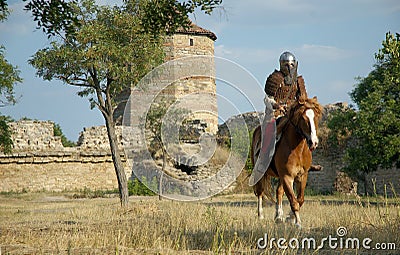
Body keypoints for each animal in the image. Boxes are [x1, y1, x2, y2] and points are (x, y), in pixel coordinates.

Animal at [252, 96, 324, 227]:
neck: (297, 150)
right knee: (260, 192)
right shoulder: (287, 177)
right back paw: (260, 215)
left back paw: (278, 216)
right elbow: (293, 200)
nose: (314, 142)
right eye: (303, 118)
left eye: (315, 117)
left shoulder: (302, 176)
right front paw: (298, 223)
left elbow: (299, 199)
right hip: (261, 173)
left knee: (279, 192)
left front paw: (290, 217)